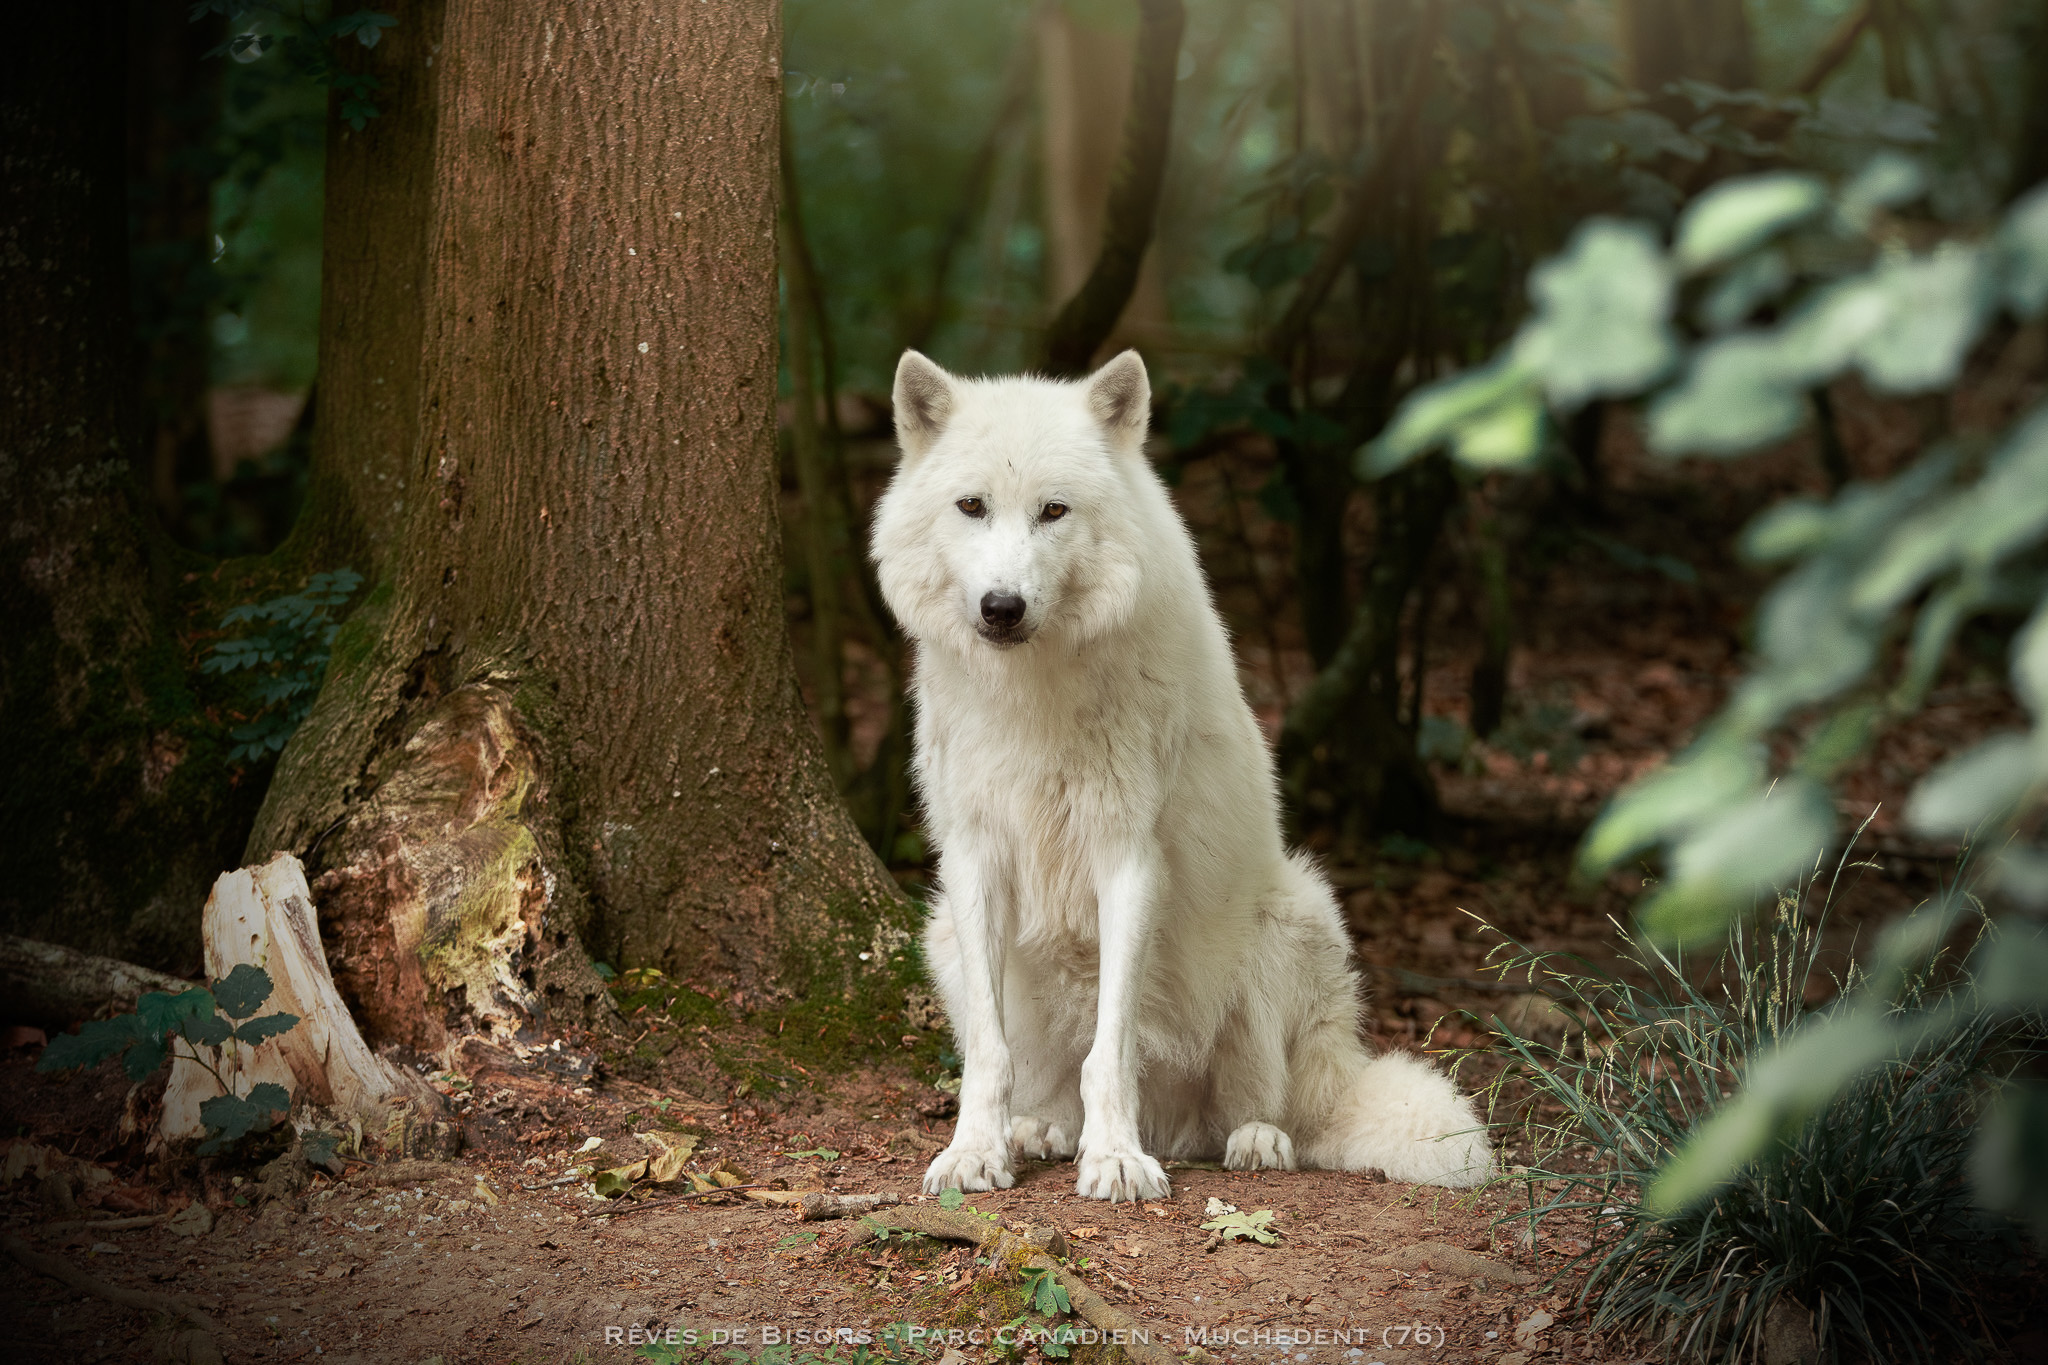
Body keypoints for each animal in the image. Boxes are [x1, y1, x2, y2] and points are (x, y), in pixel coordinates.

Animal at [869, 349, 1493, 1202]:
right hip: (938, 936)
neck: (1036, 690)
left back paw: (1251, 1139)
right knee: (1045, 1081)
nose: (1002, 606)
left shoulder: (1129, 856)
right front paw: (974, 1153)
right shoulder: (972, 856)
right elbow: (989, 1058)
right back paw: (1041, 1130)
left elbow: (1112, 1048)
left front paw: (1116, 1160)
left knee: (1274, 1111)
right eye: (972, 506)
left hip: (1294, 916)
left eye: (1054, 511)